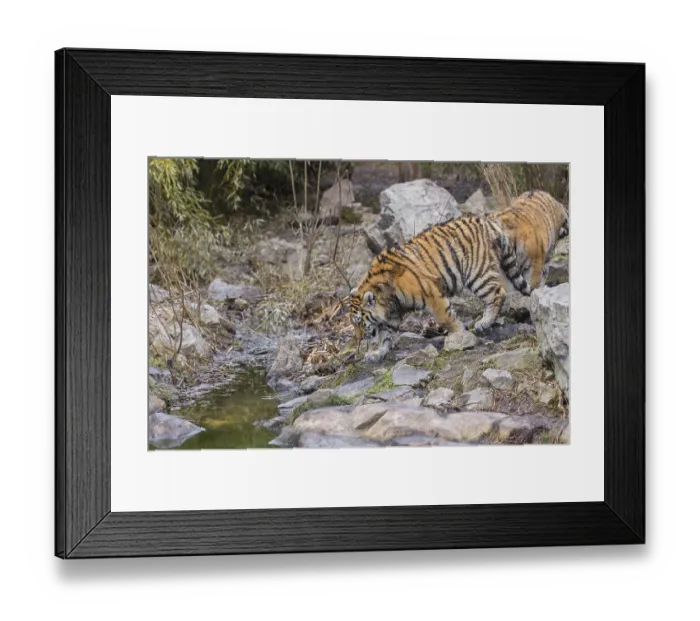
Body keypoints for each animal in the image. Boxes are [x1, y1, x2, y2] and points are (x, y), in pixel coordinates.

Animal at [349, 214, 528, 363]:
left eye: (360, 322)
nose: (358, 339)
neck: (386, 297)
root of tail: (489, 221)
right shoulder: (391, 315)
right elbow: (385, 336)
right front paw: (377, 354)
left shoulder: (432, 293)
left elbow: (445, 318)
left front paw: (460, 335)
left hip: (477, 272)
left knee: (498, 293)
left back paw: (484, 322)